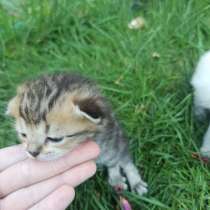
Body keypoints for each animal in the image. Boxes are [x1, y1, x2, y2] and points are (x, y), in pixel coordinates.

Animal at [6, 72, 148, 195]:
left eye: (55, 139)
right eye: (23, 135)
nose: (32, 153)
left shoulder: (110, 138)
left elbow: (121, 159)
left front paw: (131, 180)